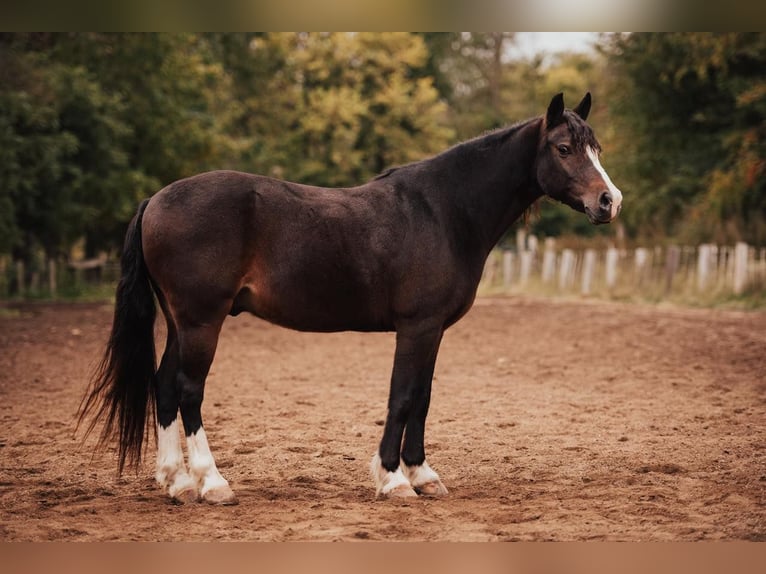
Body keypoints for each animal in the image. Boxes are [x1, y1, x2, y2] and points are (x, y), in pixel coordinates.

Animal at [78, 92, 624, 506]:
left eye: (596, 147)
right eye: (563, 147)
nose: (610, 201)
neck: (443, 211)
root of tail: (155, 199)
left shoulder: (433, 330)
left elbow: (423, 397)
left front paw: (423, 475)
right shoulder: (416, 327)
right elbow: (401, 396)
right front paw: (394, 479)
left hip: (180, 323)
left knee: (164, 387)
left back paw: (176, 482)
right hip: (201, 323)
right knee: (188, 390)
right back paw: (212, 484)